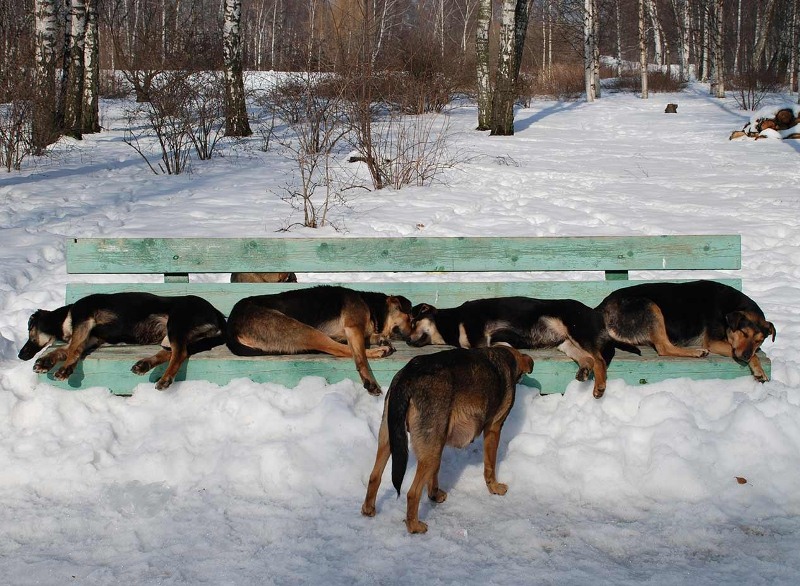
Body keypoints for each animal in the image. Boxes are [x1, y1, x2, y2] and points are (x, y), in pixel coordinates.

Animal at [19, 290, 225, 388]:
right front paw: (46, 361)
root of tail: (217, 312)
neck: (66, 317)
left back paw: (165, 379)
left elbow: (72, 348)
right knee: (175, 351)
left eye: (30, 330)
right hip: (172, 336)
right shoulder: (91, 338)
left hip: (176, 322)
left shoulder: (84, 319)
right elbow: (64, 349)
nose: (20, 355)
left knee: (180, 352)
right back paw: (145, 364)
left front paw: (64, 369)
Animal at [225, 282, 412, 392]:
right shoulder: (353, 328)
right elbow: (360, 358)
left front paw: (379, 338)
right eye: (410, 318)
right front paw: (369, 379)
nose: (412, 339)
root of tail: (231, 324)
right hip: (302, 329)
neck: (372, 306)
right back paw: (379, 351)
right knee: (338, 350)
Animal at [360, 344, 536, 532]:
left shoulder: (440, 440)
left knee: (374, 476)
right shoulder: (493, 429)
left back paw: (369, 509)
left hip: (392, 440)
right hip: (429, 452)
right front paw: (494, 487)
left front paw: (434, 494)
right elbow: (490, 465)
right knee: (412, 493)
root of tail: (407, 376)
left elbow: (435, 474)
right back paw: (414, 526)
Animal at [410, 296, 616, 396]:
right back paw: (584, 371)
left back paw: (599, 387)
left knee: (599, 360)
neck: (452, 322)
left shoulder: (482, 337)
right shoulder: (498, 339)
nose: (408, 340)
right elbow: (510, 350)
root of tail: (597, 313)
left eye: (413, 323)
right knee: (589, 358)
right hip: (566, 343)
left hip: (577, 330)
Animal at [592, 280, 776, 380]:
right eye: (744, 333)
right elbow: (751, 355)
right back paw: (696, 352)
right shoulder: (714, 342)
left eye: (760, 340)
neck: (730, 308)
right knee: (664, 348)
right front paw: (759, 369)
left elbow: (754, 353)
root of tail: (601, 308)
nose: (744, 356)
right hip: (649, 306)